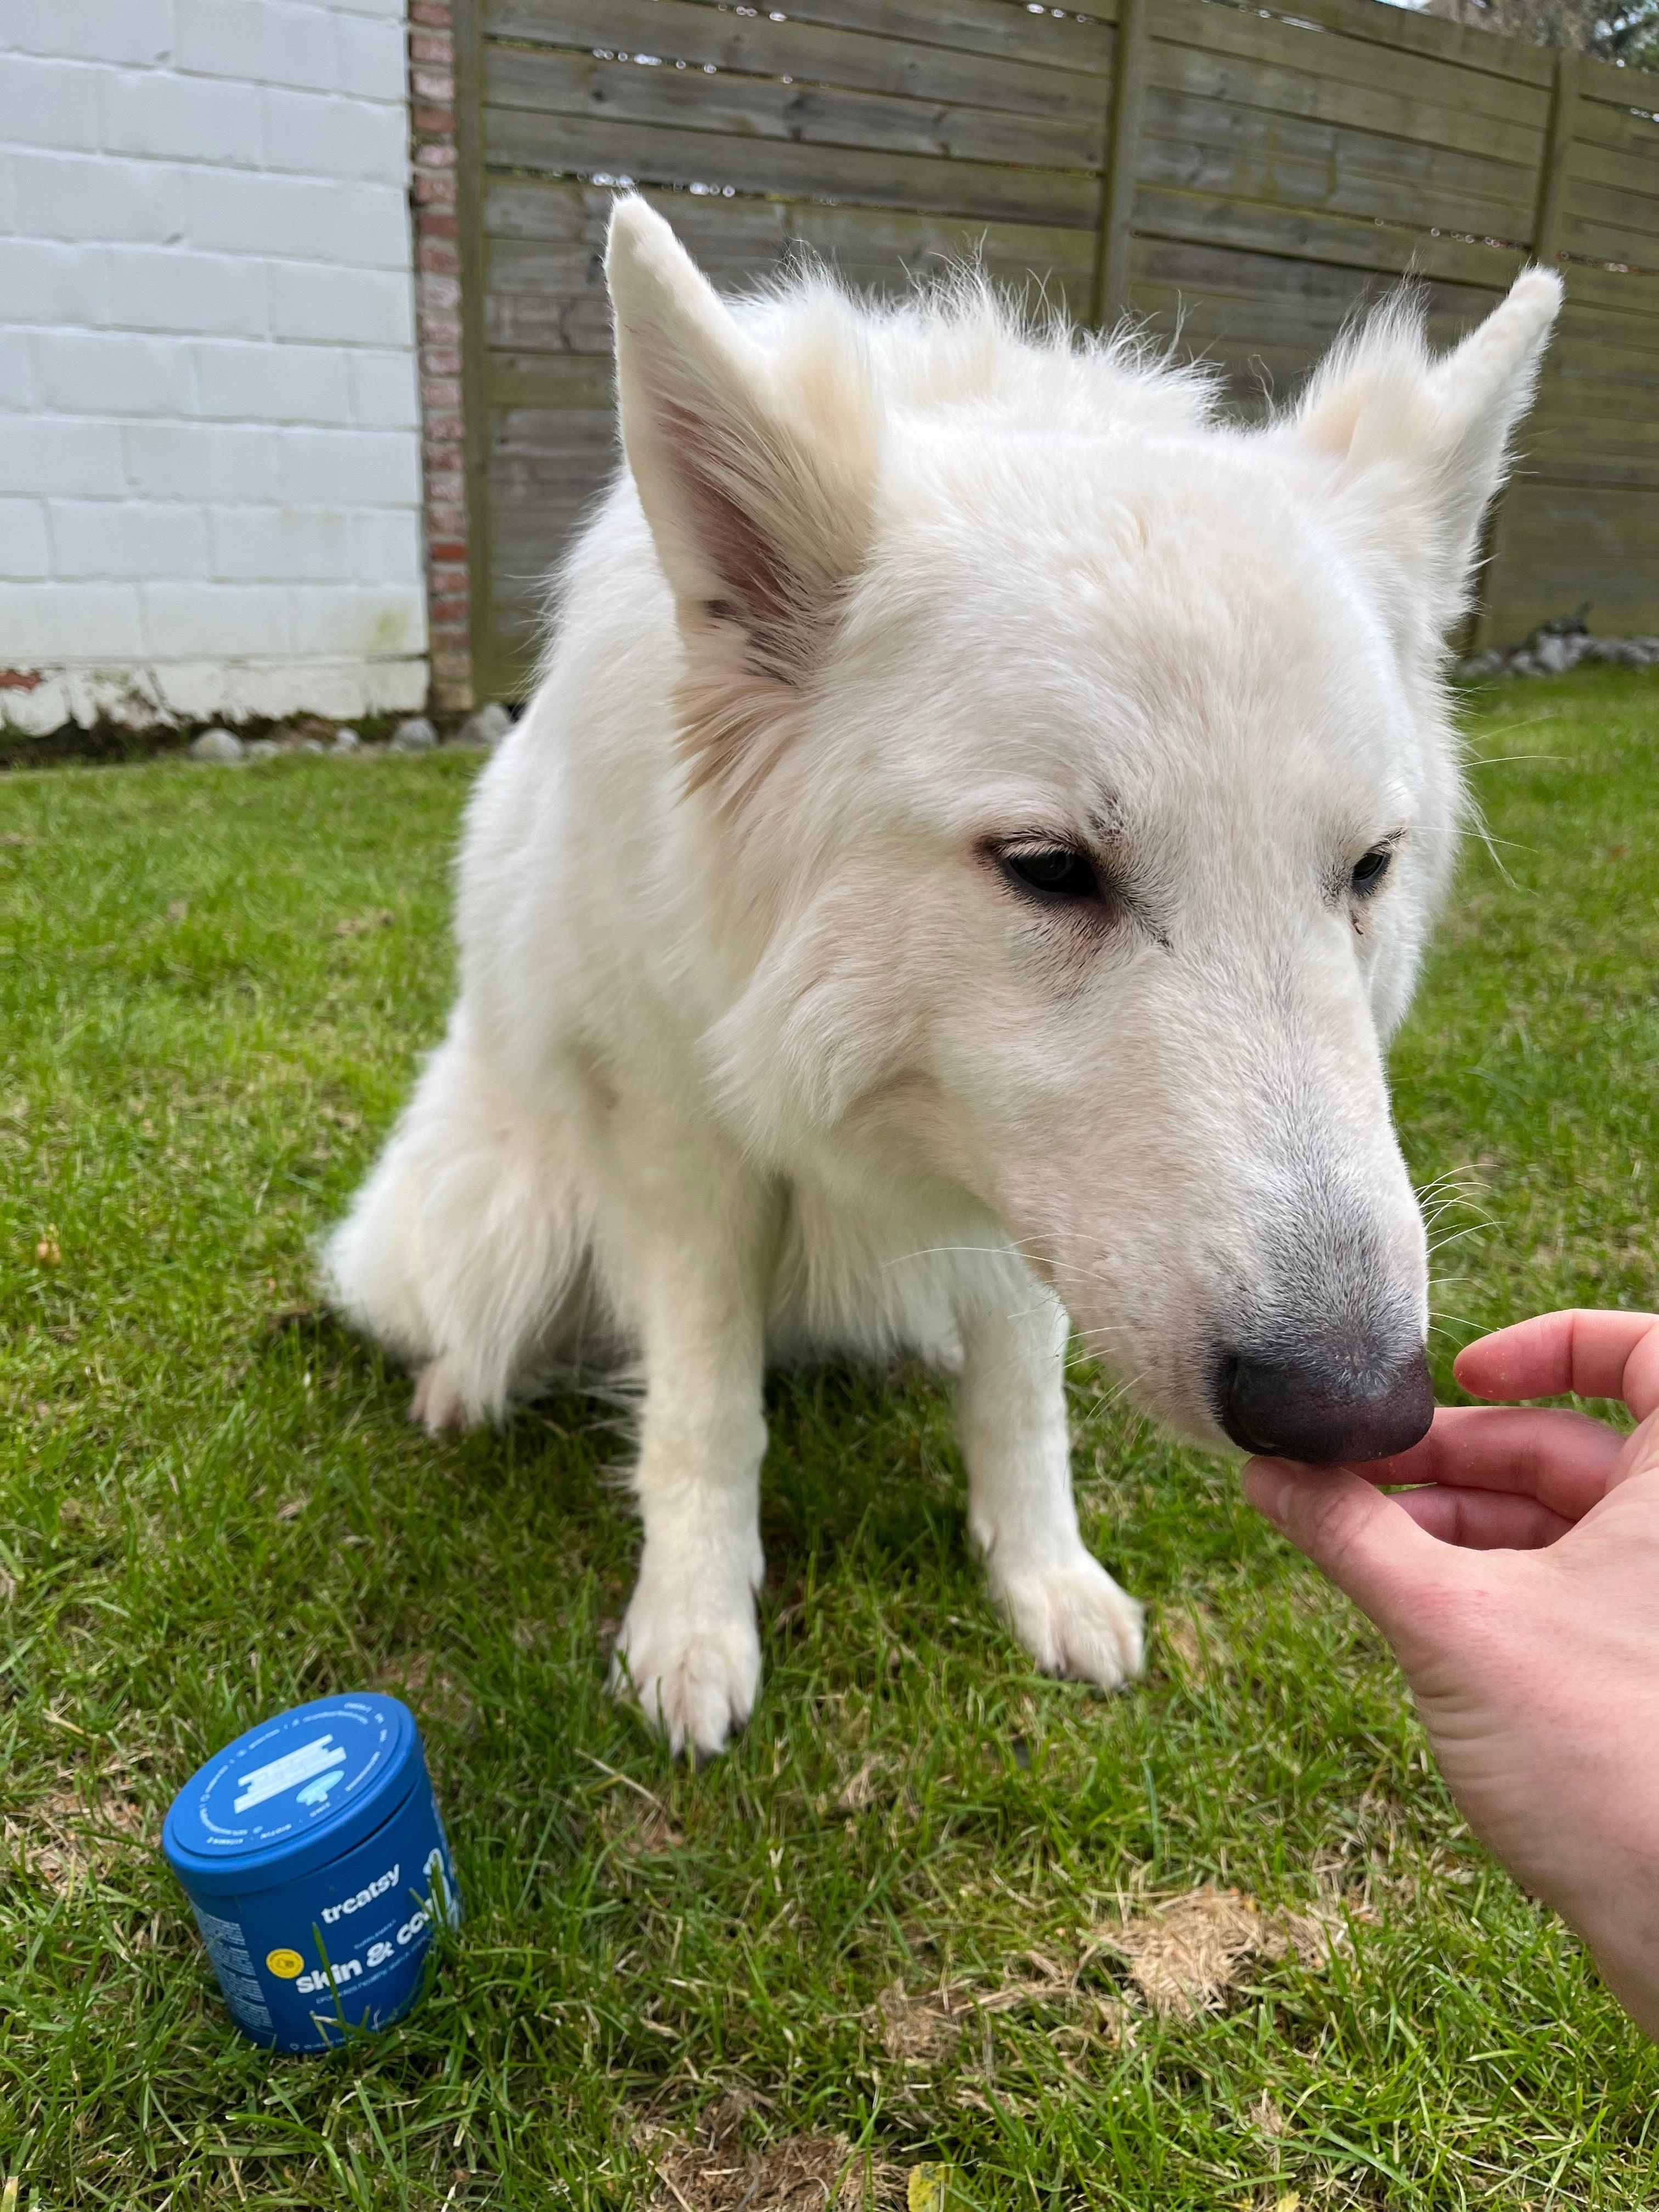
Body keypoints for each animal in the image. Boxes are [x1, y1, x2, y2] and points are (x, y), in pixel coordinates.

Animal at [331, 208, 1566, 1760]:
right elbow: (704, 1409)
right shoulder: (687, 1152)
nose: (1360, 1411)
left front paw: (1044, 1578)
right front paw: (693, 1626)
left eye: (1369, 870)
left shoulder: (1030, 1202)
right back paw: (451, 1386)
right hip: (502, 1218)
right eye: (1048, 868)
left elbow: (1020, 1398)